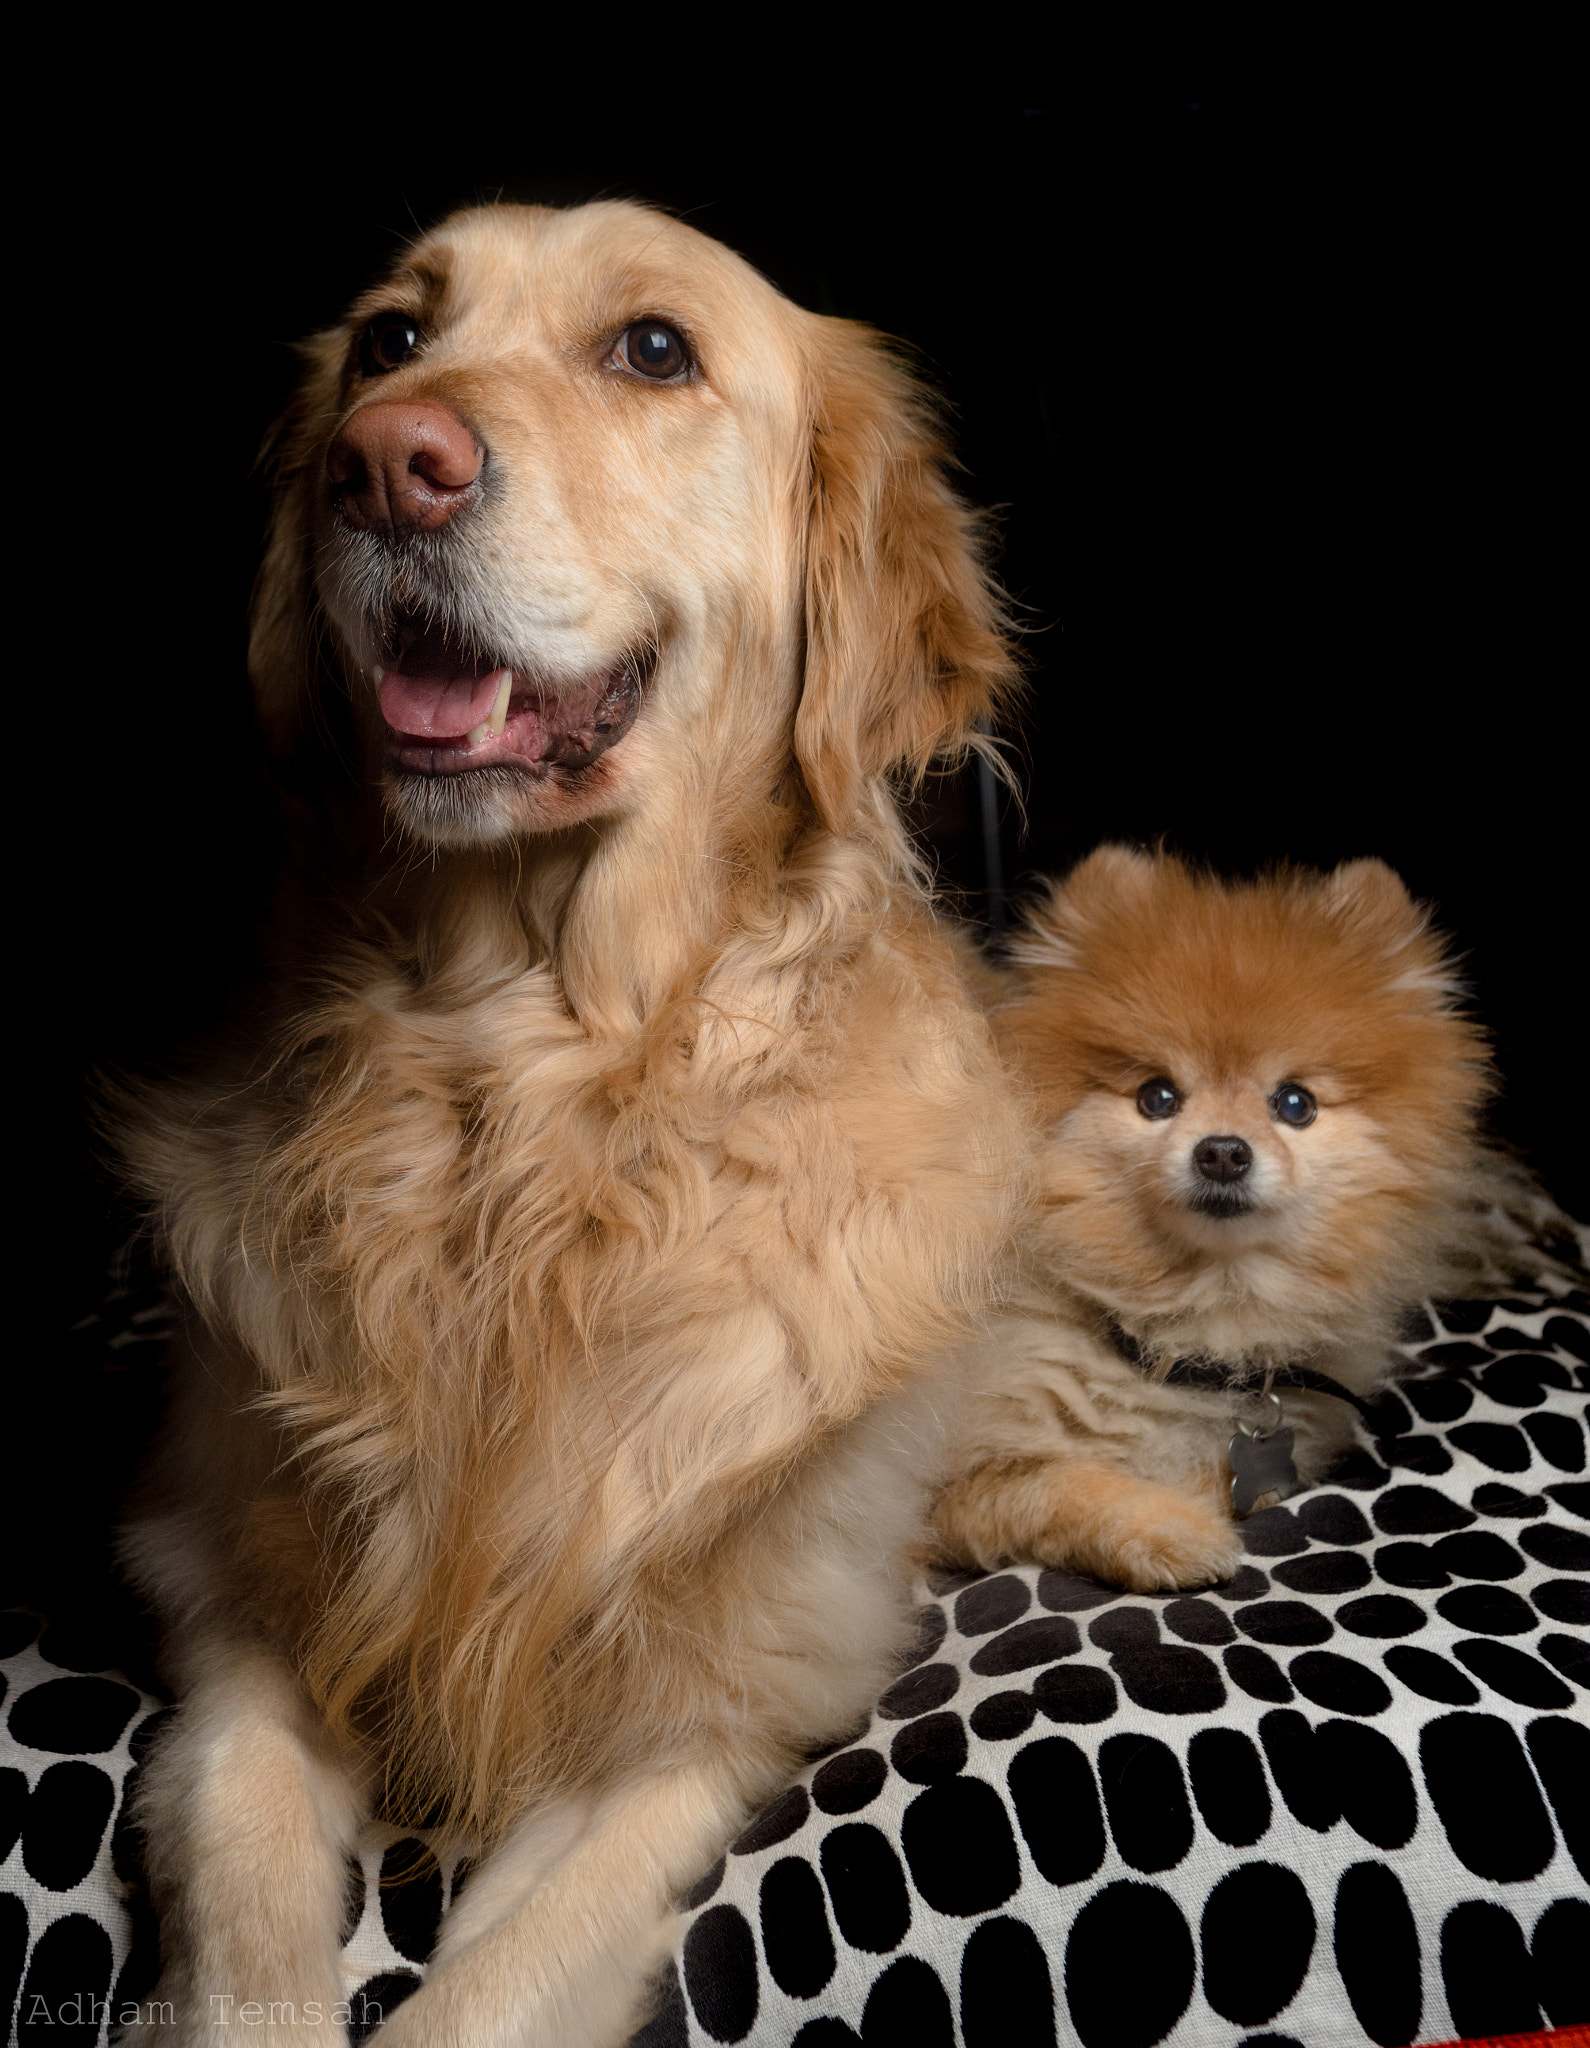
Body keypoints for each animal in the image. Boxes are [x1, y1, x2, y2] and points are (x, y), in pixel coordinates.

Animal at [114, 195, 1032, 2048]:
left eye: (655, 349)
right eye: (390, 339)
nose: (389, 464)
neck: (528, 1092)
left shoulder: (701, 1716)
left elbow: (485, 1994)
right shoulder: (228, 1604)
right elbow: (244, 1887)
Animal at [930, 839, 1524, 1589]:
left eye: (1294, 1104)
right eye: (1157, 1097)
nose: (1222, 1152)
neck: (1190, 1327)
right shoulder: (944, 1497)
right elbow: (1052, 1483)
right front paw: (1173, 1529)